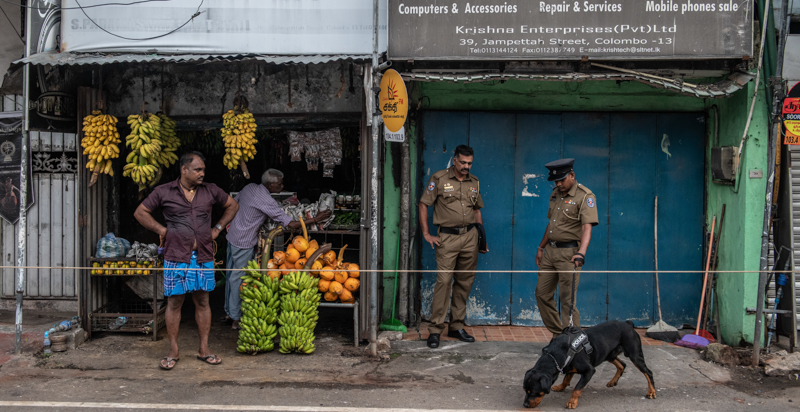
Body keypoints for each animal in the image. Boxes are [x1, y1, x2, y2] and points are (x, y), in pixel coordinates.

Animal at [524, 320, 656, 408]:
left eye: (534, 392)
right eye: (525, 390)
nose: (525, 404)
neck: (557, 354)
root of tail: (628, 323)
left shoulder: (589, 370)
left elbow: (577, 388)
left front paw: (572, 402)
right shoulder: (569, 366)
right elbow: (566, 379)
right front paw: (561, 387)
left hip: (634, 355)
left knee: (648, 372)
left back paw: (651, 392)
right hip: (609, 354)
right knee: (622, 364)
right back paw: (613, 381)